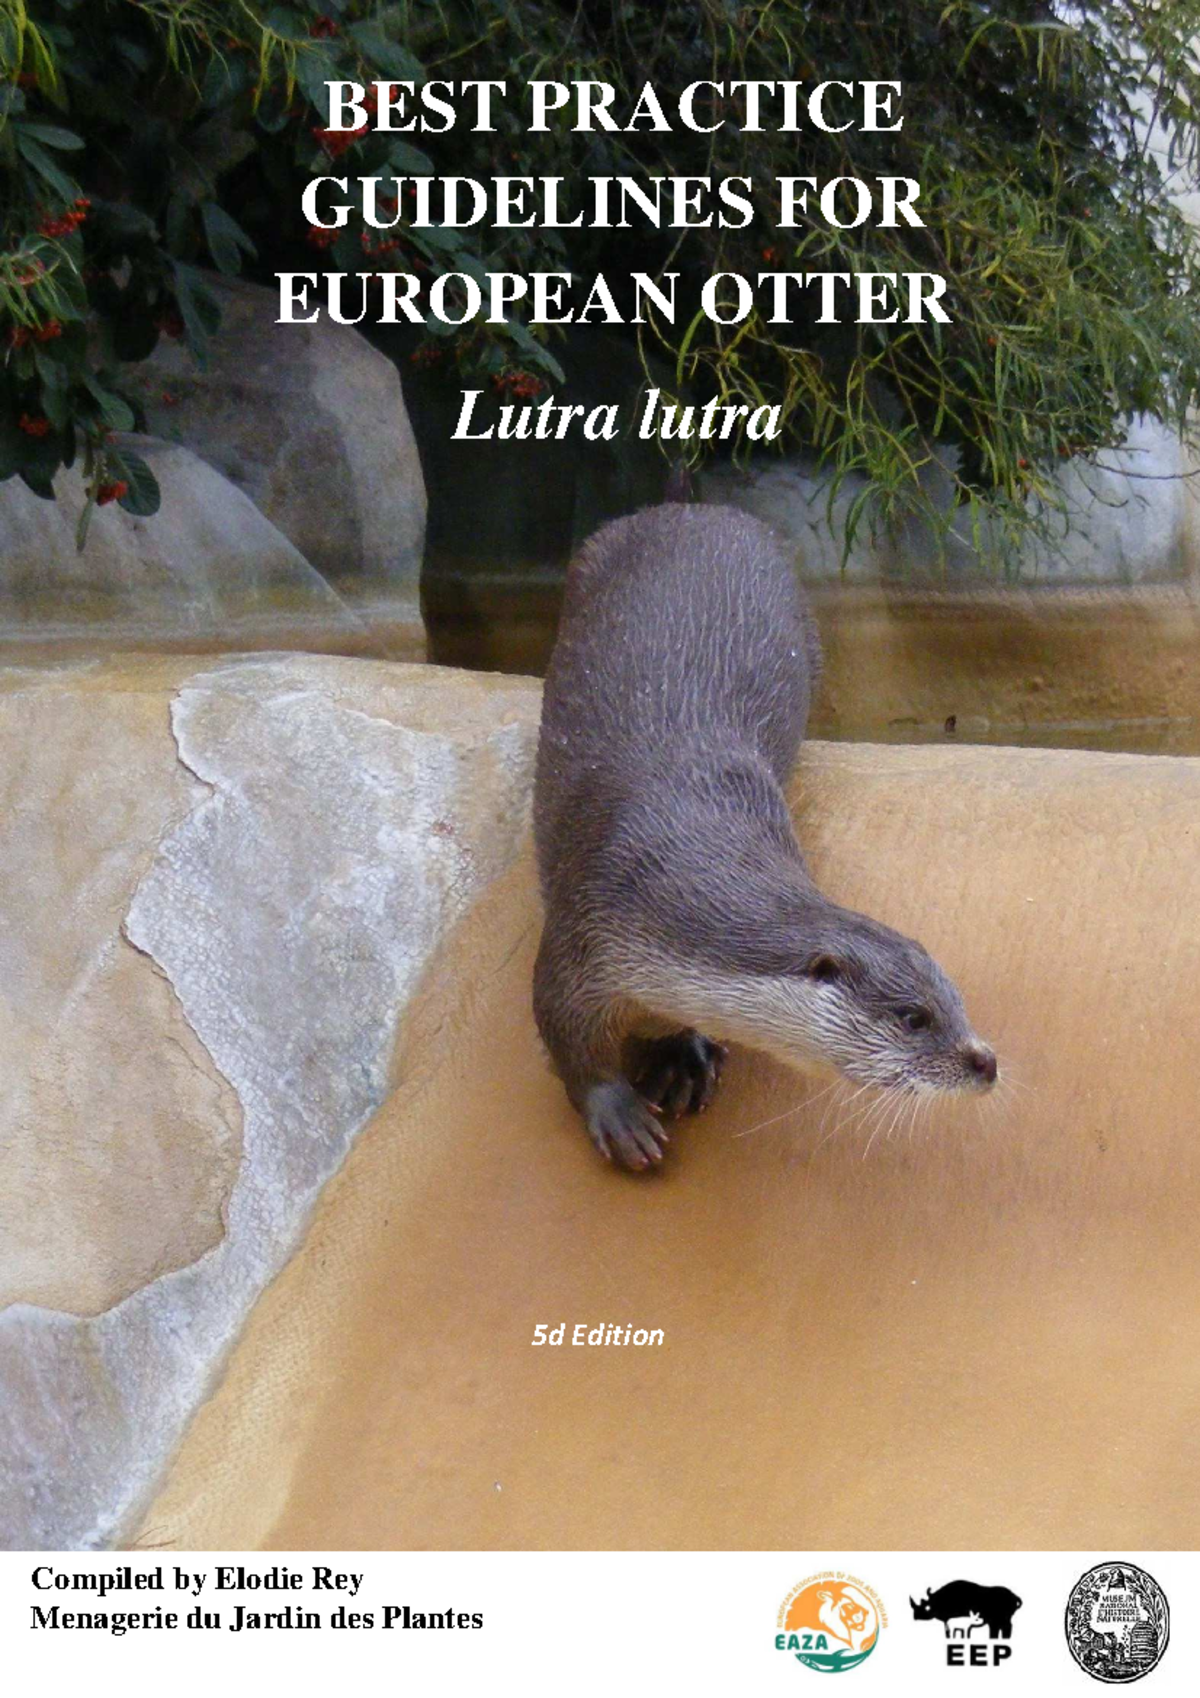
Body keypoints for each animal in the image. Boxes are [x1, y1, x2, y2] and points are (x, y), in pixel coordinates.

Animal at [532, 503, 997, 1170]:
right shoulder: (583, 920)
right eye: (914, 1018)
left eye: (956, 999)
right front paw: (617, 1112)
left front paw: (684, 1055)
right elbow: (563, 1028)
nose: (986, 1062)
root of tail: (692, 510)